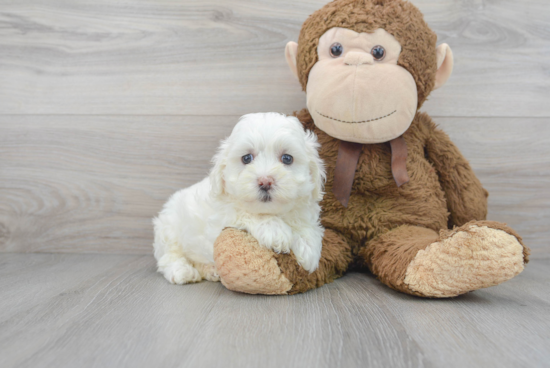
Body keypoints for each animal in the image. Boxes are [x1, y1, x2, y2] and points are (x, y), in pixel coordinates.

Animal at [153, 112, 326, 284]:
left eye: (287, 158)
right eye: (247, 158)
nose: (265, 181)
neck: (272, 211)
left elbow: (305, 224)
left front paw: (307, 247)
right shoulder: (223, 216)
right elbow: (247, 213)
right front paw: (275, 230)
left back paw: (211, 270)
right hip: (169, 230)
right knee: (169, 256)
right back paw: (182, 271)